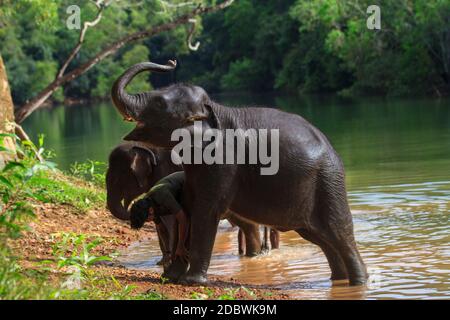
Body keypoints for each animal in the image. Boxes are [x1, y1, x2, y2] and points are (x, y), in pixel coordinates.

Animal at [110, 61, 368, 286]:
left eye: (159, 105)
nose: (172, 61)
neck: (213, 109)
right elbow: (188, 207)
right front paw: (171, 277)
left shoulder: (222, 162)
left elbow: (204, 211)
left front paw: (191, 282)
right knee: (319, 237)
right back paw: (339, 280)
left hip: (328, 182)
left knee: (339, 232)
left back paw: (358, 282)